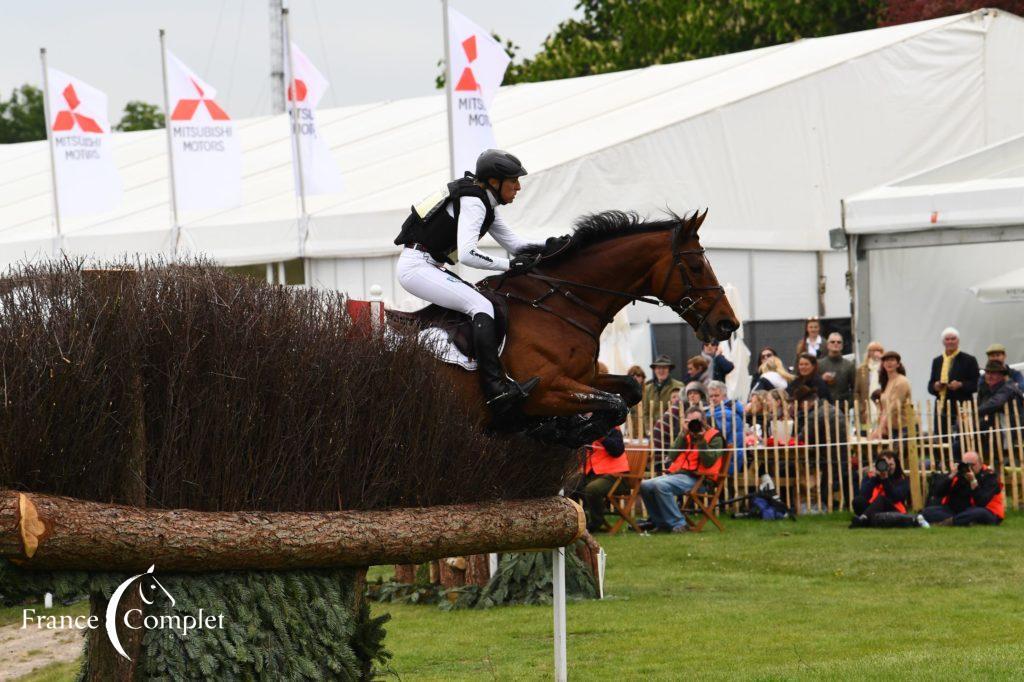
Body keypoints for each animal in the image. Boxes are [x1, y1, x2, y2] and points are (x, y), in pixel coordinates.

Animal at [419, 206, 741, 448]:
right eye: (697, 267)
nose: (728, 323)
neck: (559, 304)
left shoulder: (585, 377)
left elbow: (630, 388)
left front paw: (560, 429)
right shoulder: (546, 390)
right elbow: (616, 404)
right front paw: (569, 431)